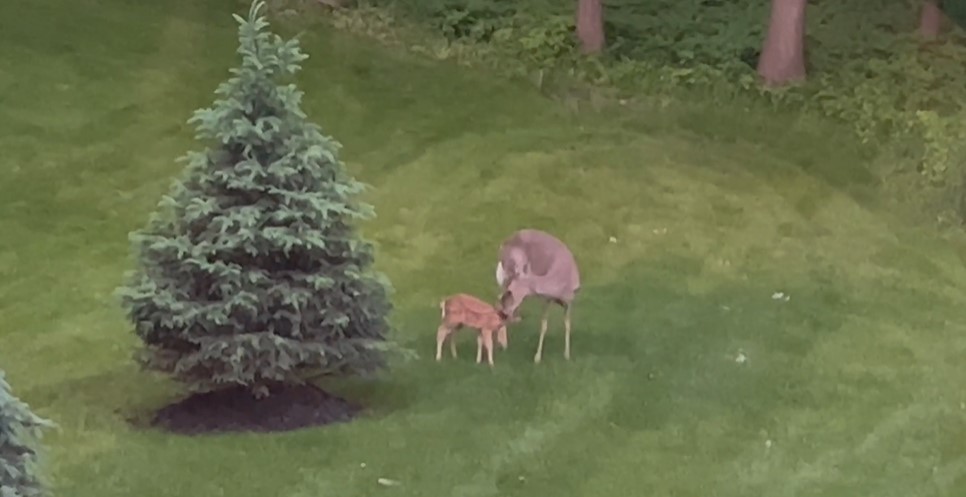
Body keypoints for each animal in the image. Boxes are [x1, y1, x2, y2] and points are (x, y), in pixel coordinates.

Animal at [496, 229, 580, 363]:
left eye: (511, 293)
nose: (504, 311)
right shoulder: (546, 299)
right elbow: (543, 325)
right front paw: (537, 357)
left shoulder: (570, 300)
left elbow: (567, 324)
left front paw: (567, 355)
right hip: (507, 273)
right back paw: (503, 342)